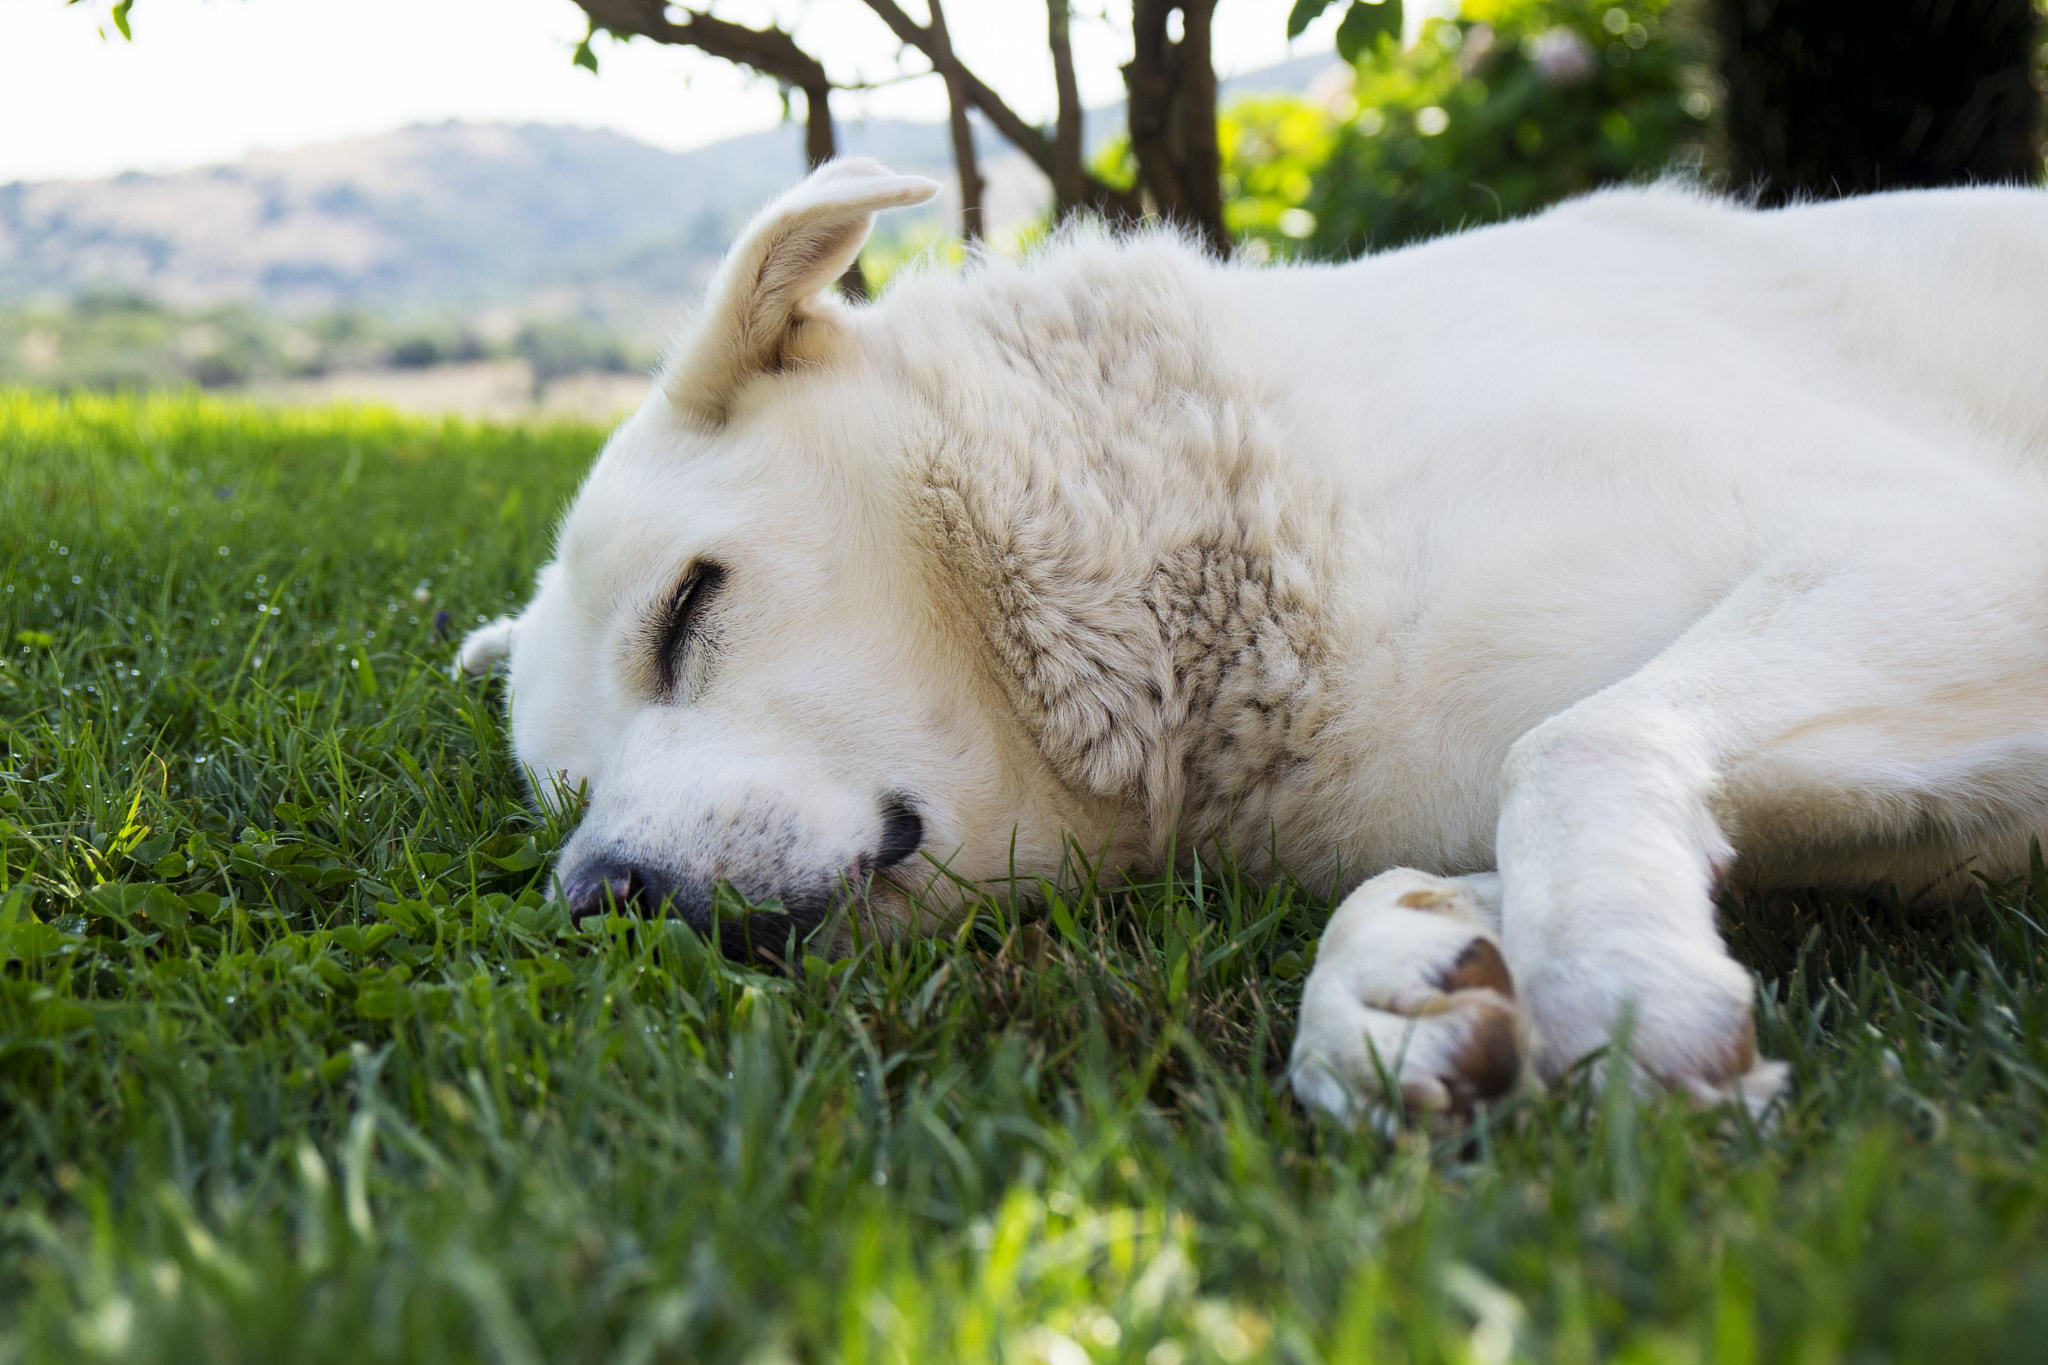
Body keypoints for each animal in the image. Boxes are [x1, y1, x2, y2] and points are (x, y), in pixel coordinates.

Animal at [464, 157, 2048, 1121]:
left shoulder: (1954, 550)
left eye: (687, 612)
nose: (598, 902)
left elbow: (1575, 741)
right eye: (564, 797)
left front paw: (1617, 971)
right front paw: (1396, 993)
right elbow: (1450, 872)